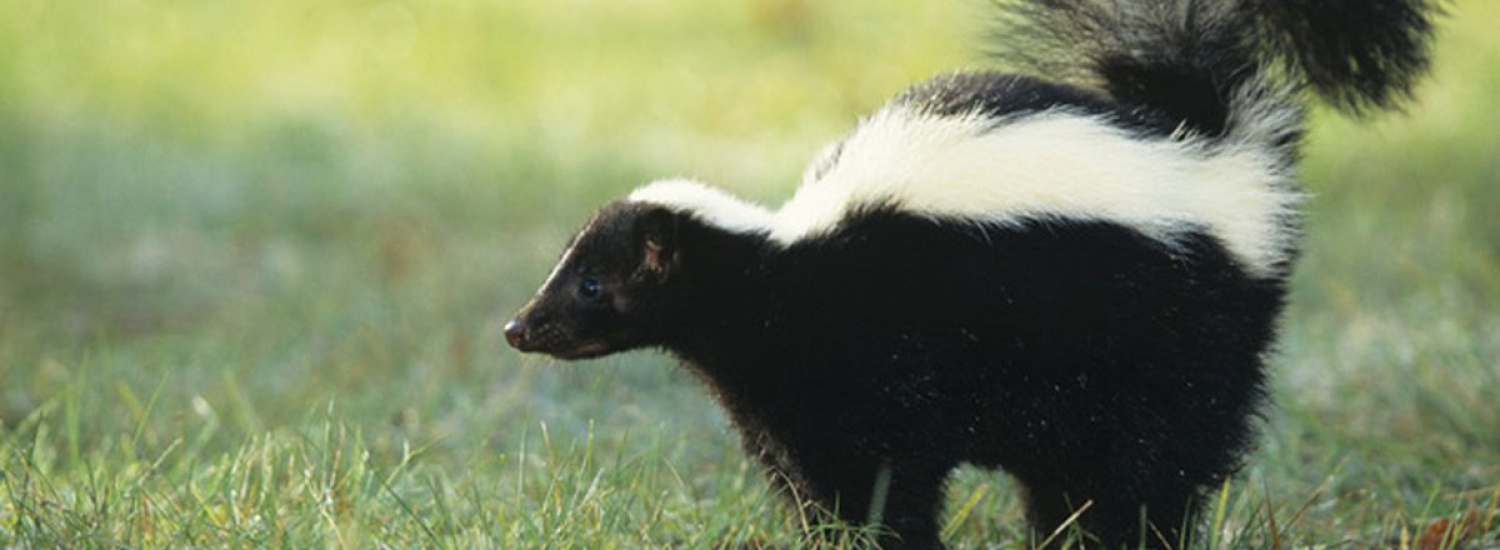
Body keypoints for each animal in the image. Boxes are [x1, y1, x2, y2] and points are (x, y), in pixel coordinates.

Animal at [507, 1, 1440, 548]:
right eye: (566, 271)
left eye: (592, 285)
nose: (520, 327)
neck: (781, 269)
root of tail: (1204, 147)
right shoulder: (785, 402)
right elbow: (815, 484)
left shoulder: (873, 367)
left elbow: (883, 482)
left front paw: (884, 543)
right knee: (1076, 479)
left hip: (1172, 341)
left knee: (1153, 469)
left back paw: (1122, 542)